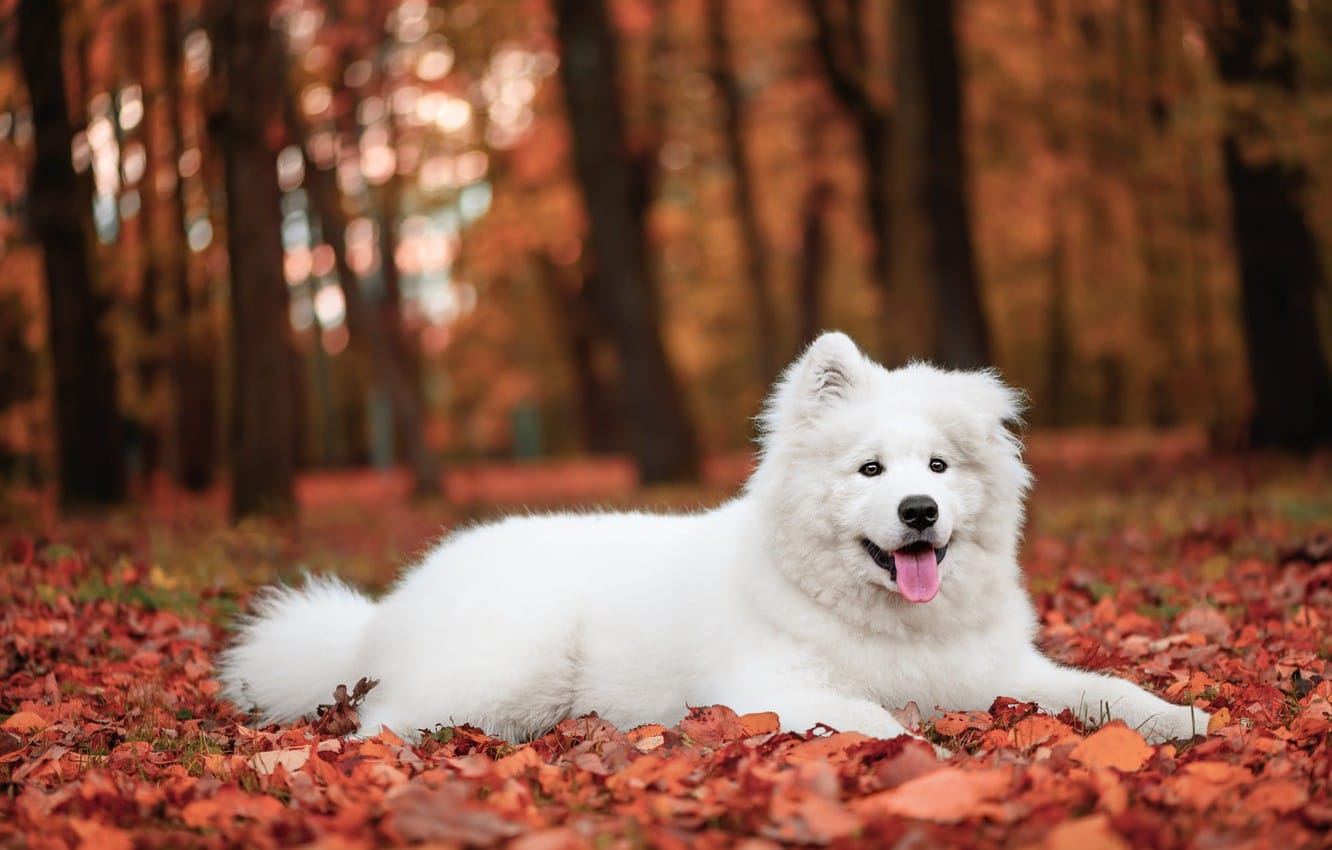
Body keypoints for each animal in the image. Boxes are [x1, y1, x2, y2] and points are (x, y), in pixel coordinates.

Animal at [215, 333, 1209, 746]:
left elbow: (1106, 690)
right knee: (380, 725)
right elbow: (880, 720)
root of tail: (379, 615)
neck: (890, 622)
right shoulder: (772, 687)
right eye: (871, 471)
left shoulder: (1002, 671)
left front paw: (1184, 718)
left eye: (937, 465)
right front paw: (924, 753)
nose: (921, 512)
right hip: (510, 667)